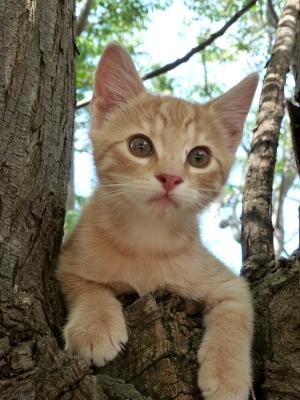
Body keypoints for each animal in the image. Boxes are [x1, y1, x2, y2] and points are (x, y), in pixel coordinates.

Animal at [58, 43, 258, 400]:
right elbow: (86, 285)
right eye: (140, 145)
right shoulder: (68, 259)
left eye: (199, 157)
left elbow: (237, 311)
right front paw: (95, 325)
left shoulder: (232, 284)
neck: (147, 241)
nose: (170, 177)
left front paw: (227, 375)